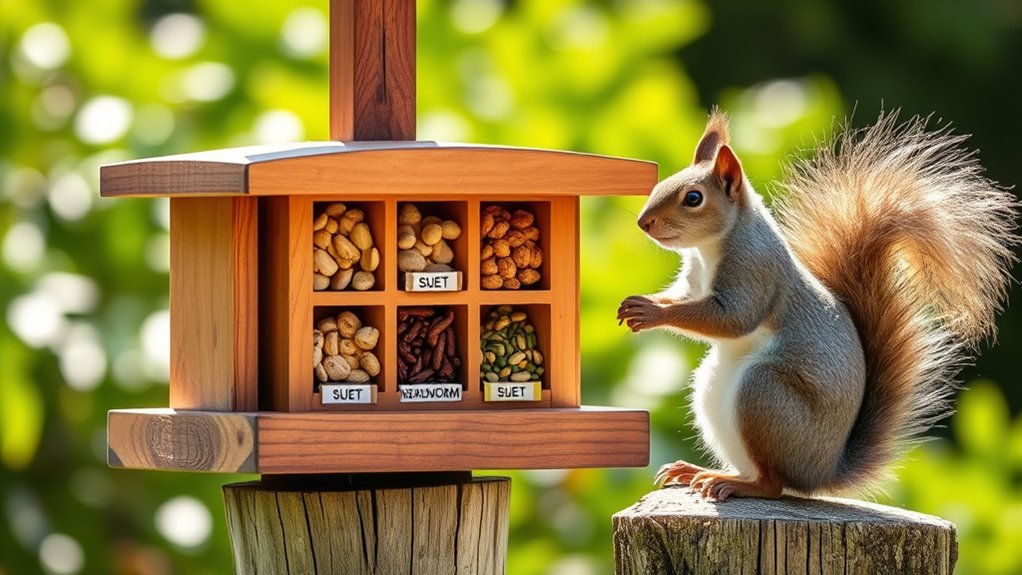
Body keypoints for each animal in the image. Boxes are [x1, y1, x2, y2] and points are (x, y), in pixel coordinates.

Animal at [617, 109, 1019, 501]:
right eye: (665, 182)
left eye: (693, 198)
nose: (643, 222)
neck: (709, 249)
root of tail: (823, 471)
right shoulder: (691, 282)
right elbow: (683, 298)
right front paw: (640, 304)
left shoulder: (753, 271)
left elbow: (733, 319)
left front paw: (652, 313)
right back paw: (698, 471)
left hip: (763, 395)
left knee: (773, 485)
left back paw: (732, 483)